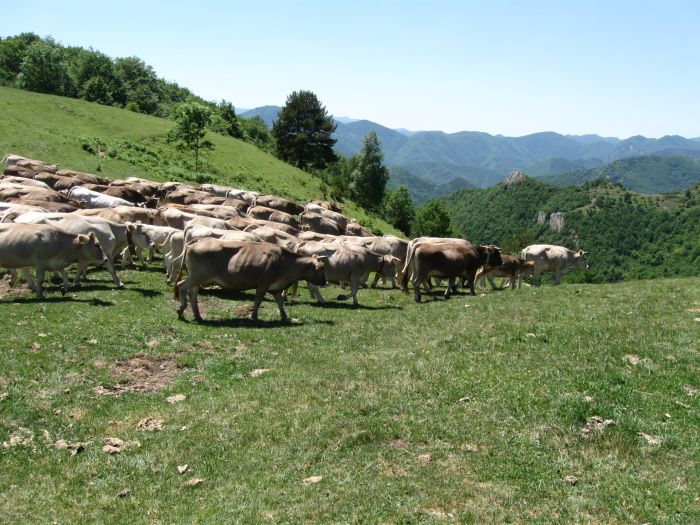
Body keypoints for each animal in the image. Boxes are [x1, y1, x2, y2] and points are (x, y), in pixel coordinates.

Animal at [175, 239, 328, 322]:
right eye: (321, 269)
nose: (325, 282)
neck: (285, 262)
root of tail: (198, 240)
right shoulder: (263, 284)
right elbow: (258, 300)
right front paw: (254, 316)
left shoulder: (275, 288)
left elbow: (280, 303)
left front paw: (285, 317)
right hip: (197, 276)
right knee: (181, 286)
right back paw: (181, 309)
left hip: (197, 278)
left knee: (192, 293)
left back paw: (197, 315)